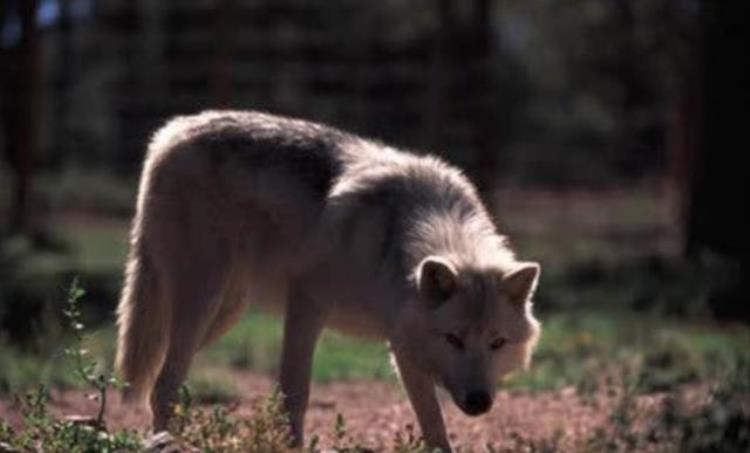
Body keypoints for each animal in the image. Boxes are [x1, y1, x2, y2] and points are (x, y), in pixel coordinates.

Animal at [114, 108, 544, 448]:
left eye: (497, 343)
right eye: (453, 339)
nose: (479, 401)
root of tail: (171, 132)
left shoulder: (401, 345)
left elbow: (434, 427)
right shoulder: (307, 305)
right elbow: (294, 395)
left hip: (222, 315)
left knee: (162, 380)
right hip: (203, 301)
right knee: (163, 386)